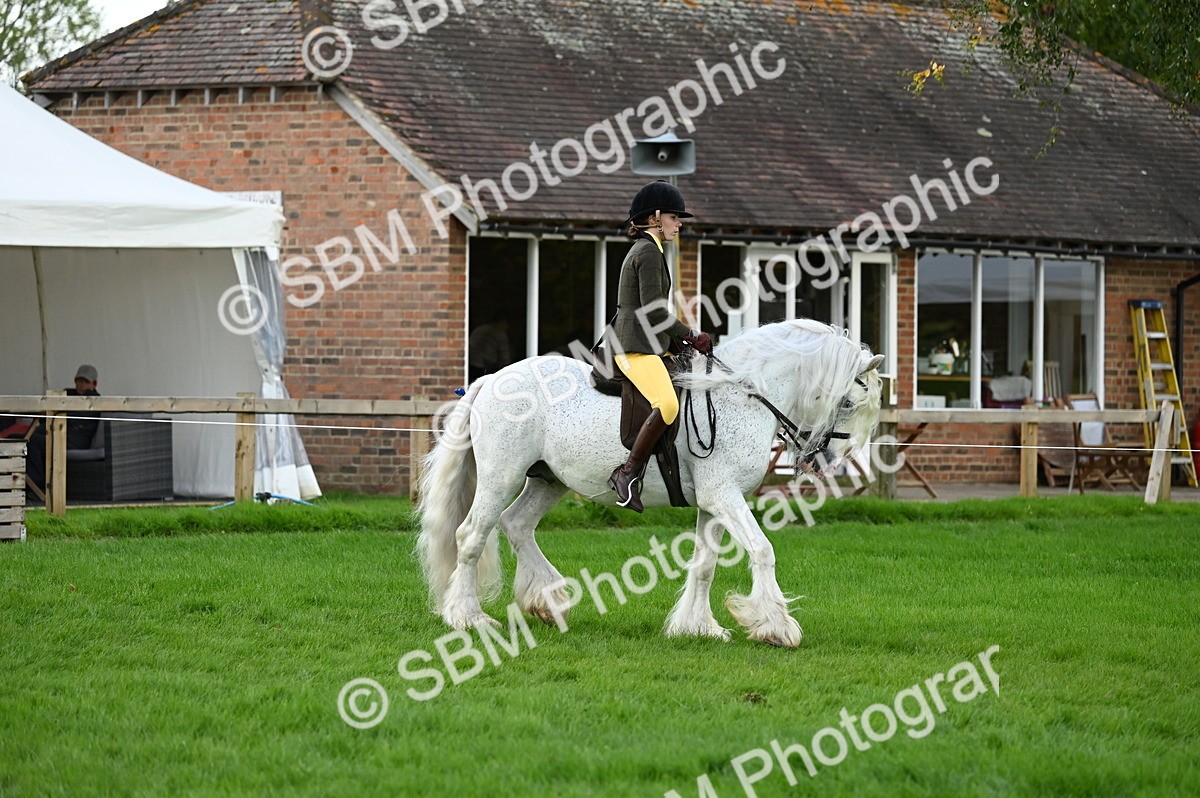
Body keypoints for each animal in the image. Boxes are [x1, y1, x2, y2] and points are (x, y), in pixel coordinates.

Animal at [416, 318, 884, 648]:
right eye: (846, 400)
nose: (824, 461)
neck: (741, 393)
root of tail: (491, 379)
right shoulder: (724, 495)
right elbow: (762, 550)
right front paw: (777, 628)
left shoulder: (714, 501)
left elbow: (704, 564)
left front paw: (697, 627)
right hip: (502, 474)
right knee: (472, 535)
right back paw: (468, 617)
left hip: (548, 479)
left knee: (516, 524)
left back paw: (549, 601)